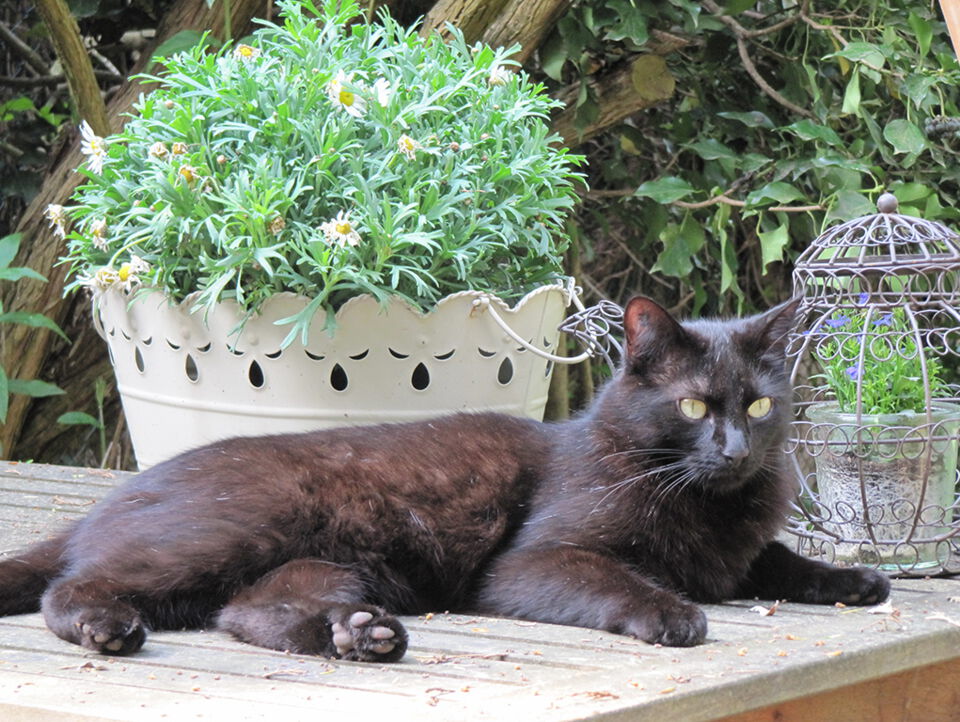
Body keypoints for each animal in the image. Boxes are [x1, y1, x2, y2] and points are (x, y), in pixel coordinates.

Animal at [0, 294, 888, 660]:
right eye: (696, 405)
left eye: (761, 404)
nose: (736, 449)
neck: (706, 505)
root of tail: (110, 499)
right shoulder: (531, 562)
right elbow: (622, 578)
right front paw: (671, 612)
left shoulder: (738, 553)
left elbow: (776, 559)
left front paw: (854, 579)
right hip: (233, 529)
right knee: (73, 587)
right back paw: (108, 628)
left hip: (322, 564)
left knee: (245, 613)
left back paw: (360, 638)